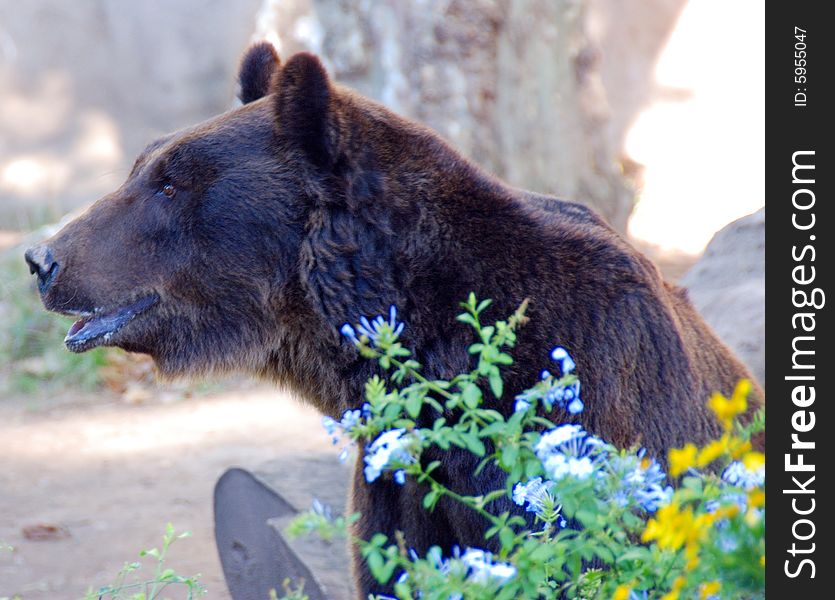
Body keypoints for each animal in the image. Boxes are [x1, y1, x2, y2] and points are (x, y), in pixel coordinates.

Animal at [24, 42, 764, 596]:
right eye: (140, 167)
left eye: (171, 182)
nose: (42, 258)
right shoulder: (398, 471)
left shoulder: (573, 402)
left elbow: (569, 549)